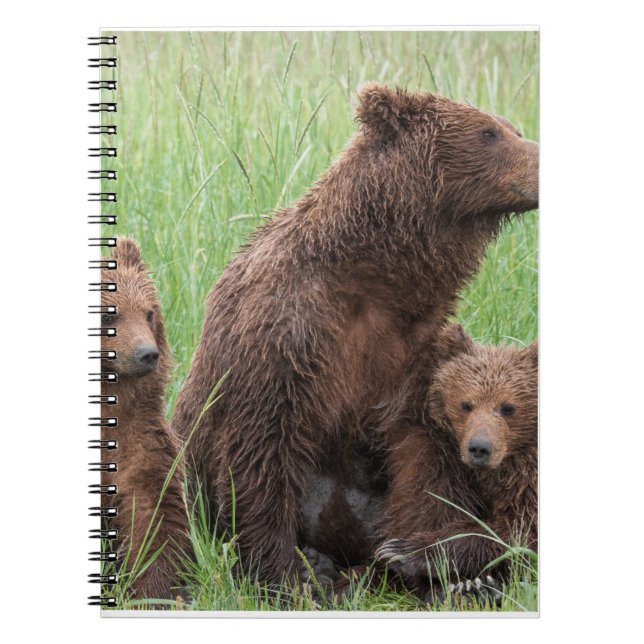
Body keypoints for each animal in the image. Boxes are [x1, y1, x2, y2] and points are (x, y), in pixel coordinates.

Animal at [99, 237, 191, 601]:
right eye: (110, 313)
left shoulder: (144, 448)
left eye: (149, 312)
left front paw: (154, 591)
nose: (147, 354)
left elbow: (154, 520)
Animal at [375, 338, 538, 600]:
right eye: (466, 404)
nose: (480, 448)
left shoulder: (528, 480)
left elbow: (518, 529)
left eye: (508, 407)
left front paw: (404, 551)